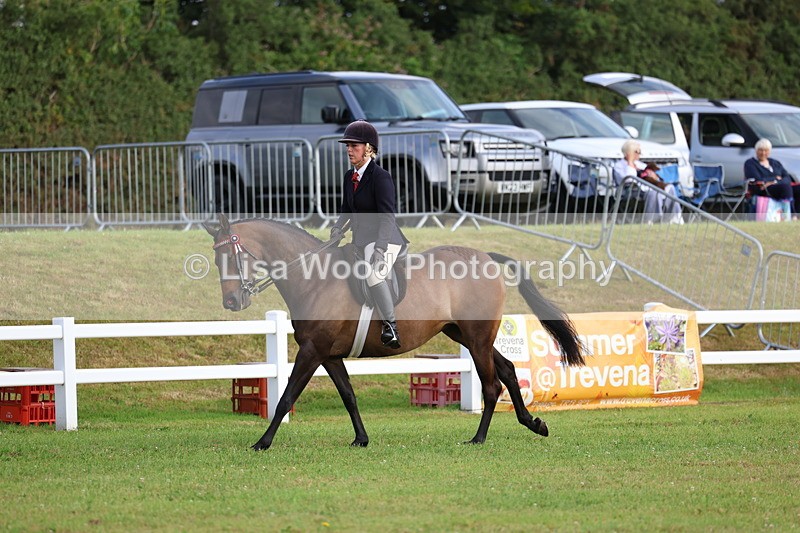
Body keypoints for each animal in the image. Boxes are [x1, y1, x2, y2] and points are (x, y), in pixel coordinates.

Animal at [204, 214, 584, 450]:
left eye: (231, 256)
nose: (232, 301)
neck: (315, 278)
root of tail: (486, 258)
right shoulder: (328, 354)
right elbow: (348, 395)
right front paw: (361, 439)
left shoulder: (312, 351)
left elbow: (286, 396)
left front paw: (262, 442)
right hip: (465, 335)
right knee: (506, 370)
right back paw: (533, 423)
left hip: (476, 338)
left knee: (492, 385)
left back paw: (479, 439)